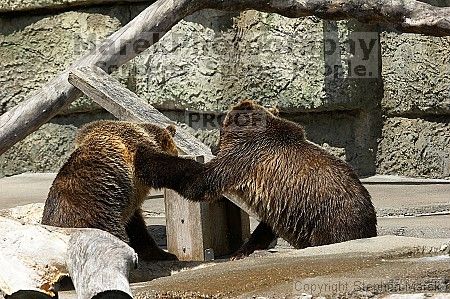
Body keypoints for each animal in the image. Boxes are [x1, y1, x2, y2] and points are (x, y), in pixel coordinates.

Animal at [136, 100, 376, 260]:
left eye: (220, 130)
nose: (214, 147)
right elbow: (264, 226)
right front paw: (242, 250)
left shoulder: (243, 158)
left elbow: (200, 183)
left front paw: (146, 159)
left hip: (327, 219)